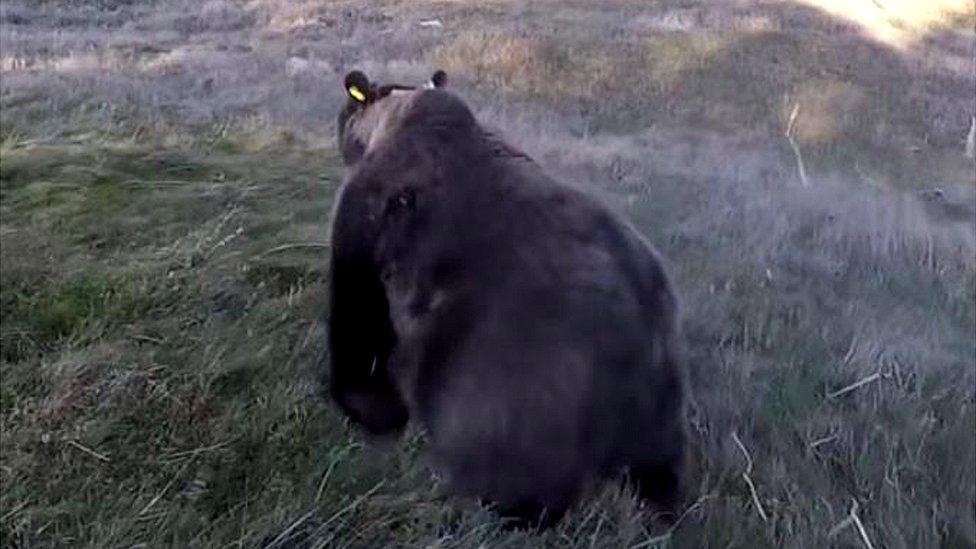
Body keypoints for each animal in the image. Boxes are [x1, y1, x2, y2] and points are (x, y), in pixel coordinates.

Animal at [326, 68, 688, 528]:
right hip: (658, 403)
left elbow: (357, 312)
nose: (339, 119)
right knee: (658, 467)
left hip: (518, 385)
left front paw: (366, 408)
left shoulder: (374, 214)